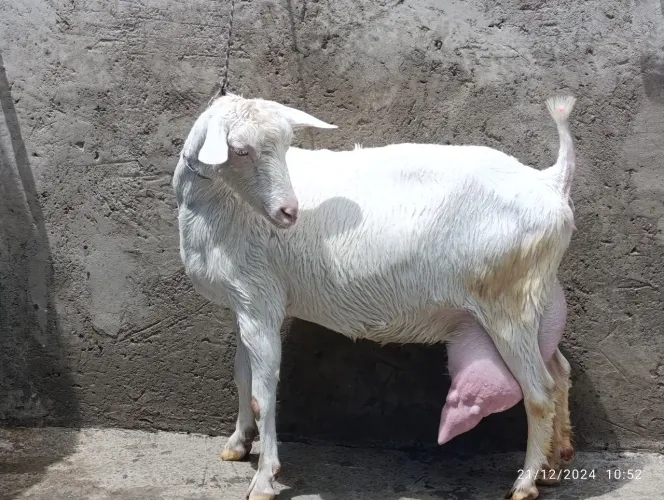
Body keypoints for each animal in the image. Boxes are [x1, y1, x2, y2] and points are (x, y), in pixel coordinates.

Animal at [172, 93, 577, 500]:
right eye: (240, 150)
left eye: (286, 145)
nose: (289, 211)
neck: (220, 206)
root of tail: (551, 180)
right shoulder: (244, 302)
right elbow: (242, 374)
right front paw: (238, 444)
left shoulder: (260, 299)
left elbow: (262, 391)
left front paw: (264, 479)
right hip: (535, 301)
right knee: (559, 372)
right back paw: (554, 464)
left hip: (509, 304)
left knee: (539, 392)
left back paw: (525, 483)